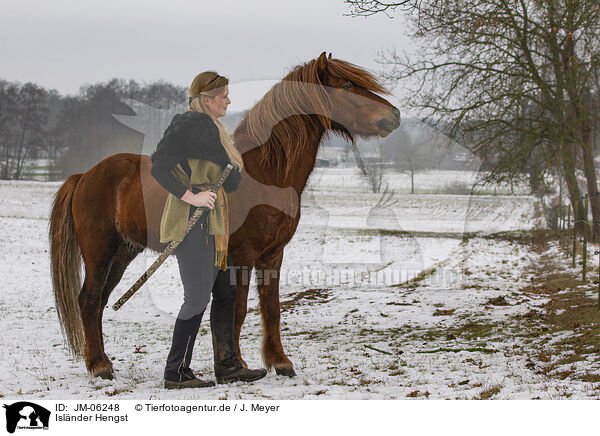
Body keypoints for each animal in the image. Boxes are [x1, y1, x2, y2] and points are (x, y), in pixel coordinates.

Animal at [49, 52, 400, 378]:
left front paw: (280, 362)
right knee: (89, 300)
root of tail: (84, 175)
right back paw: (99, 366)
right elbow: (238, 310)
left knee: (98, 303)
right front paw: (239, 365)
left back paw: (100, 361)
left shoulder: (272, 254)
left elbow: (271, 308)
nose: (394, 116)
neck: (264, 174)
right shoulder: (241, 255)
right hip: (99, 253)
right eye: (346, 86)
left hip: (123, 253)